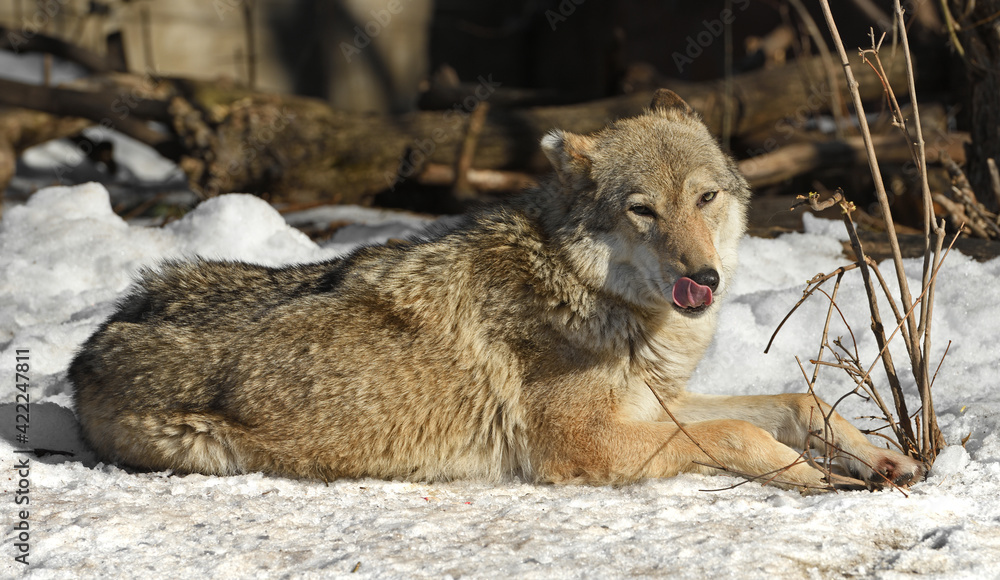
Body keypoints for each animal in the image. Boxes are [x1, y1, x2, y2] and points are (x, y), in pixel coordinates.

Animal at [70, 90, 923, 491]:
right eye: (642, 210)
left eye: (705, 199)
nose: (703, 278)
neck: (592, 297)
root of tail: (91, 345)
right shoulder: (589, 445)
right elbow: (745, 434)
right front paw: (815, 478)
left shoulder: (656, 407)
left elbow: (796, 402)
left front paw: (880, 459)